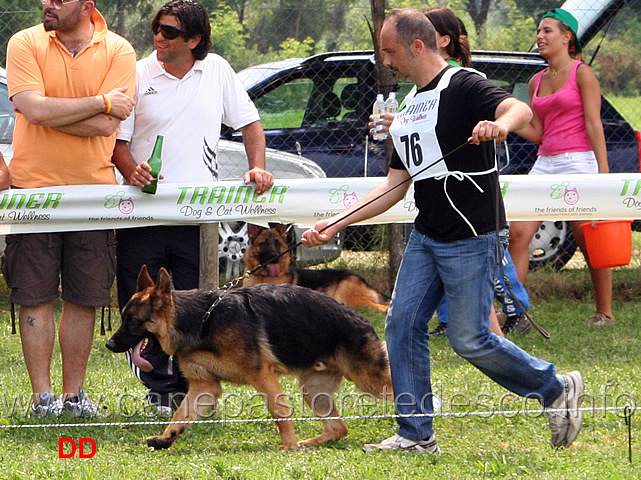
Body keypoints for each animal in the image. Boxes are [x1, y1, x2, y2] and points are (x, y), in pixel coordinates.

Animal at [106, 266, 390, 450]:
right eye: (123, 318)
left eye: (132, 321)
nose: (109, 344)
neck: (201, 321)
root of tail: (360, 319)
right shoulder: (204, 387)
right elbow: (181, 414)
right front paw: (167, 437)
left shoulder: (261, 375)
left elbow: (279, 410)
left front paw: (288, 446)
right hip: (314, 391)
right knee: (339, 428)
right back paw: (310, 442)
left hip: (369, 378)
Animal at [241, 224, 388, 314]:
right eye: (264, 243)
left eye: (277, 243)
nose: (275, 256)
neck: (262, 276)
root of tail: (360, 278)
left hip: (349, 298)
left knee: (379, 306)